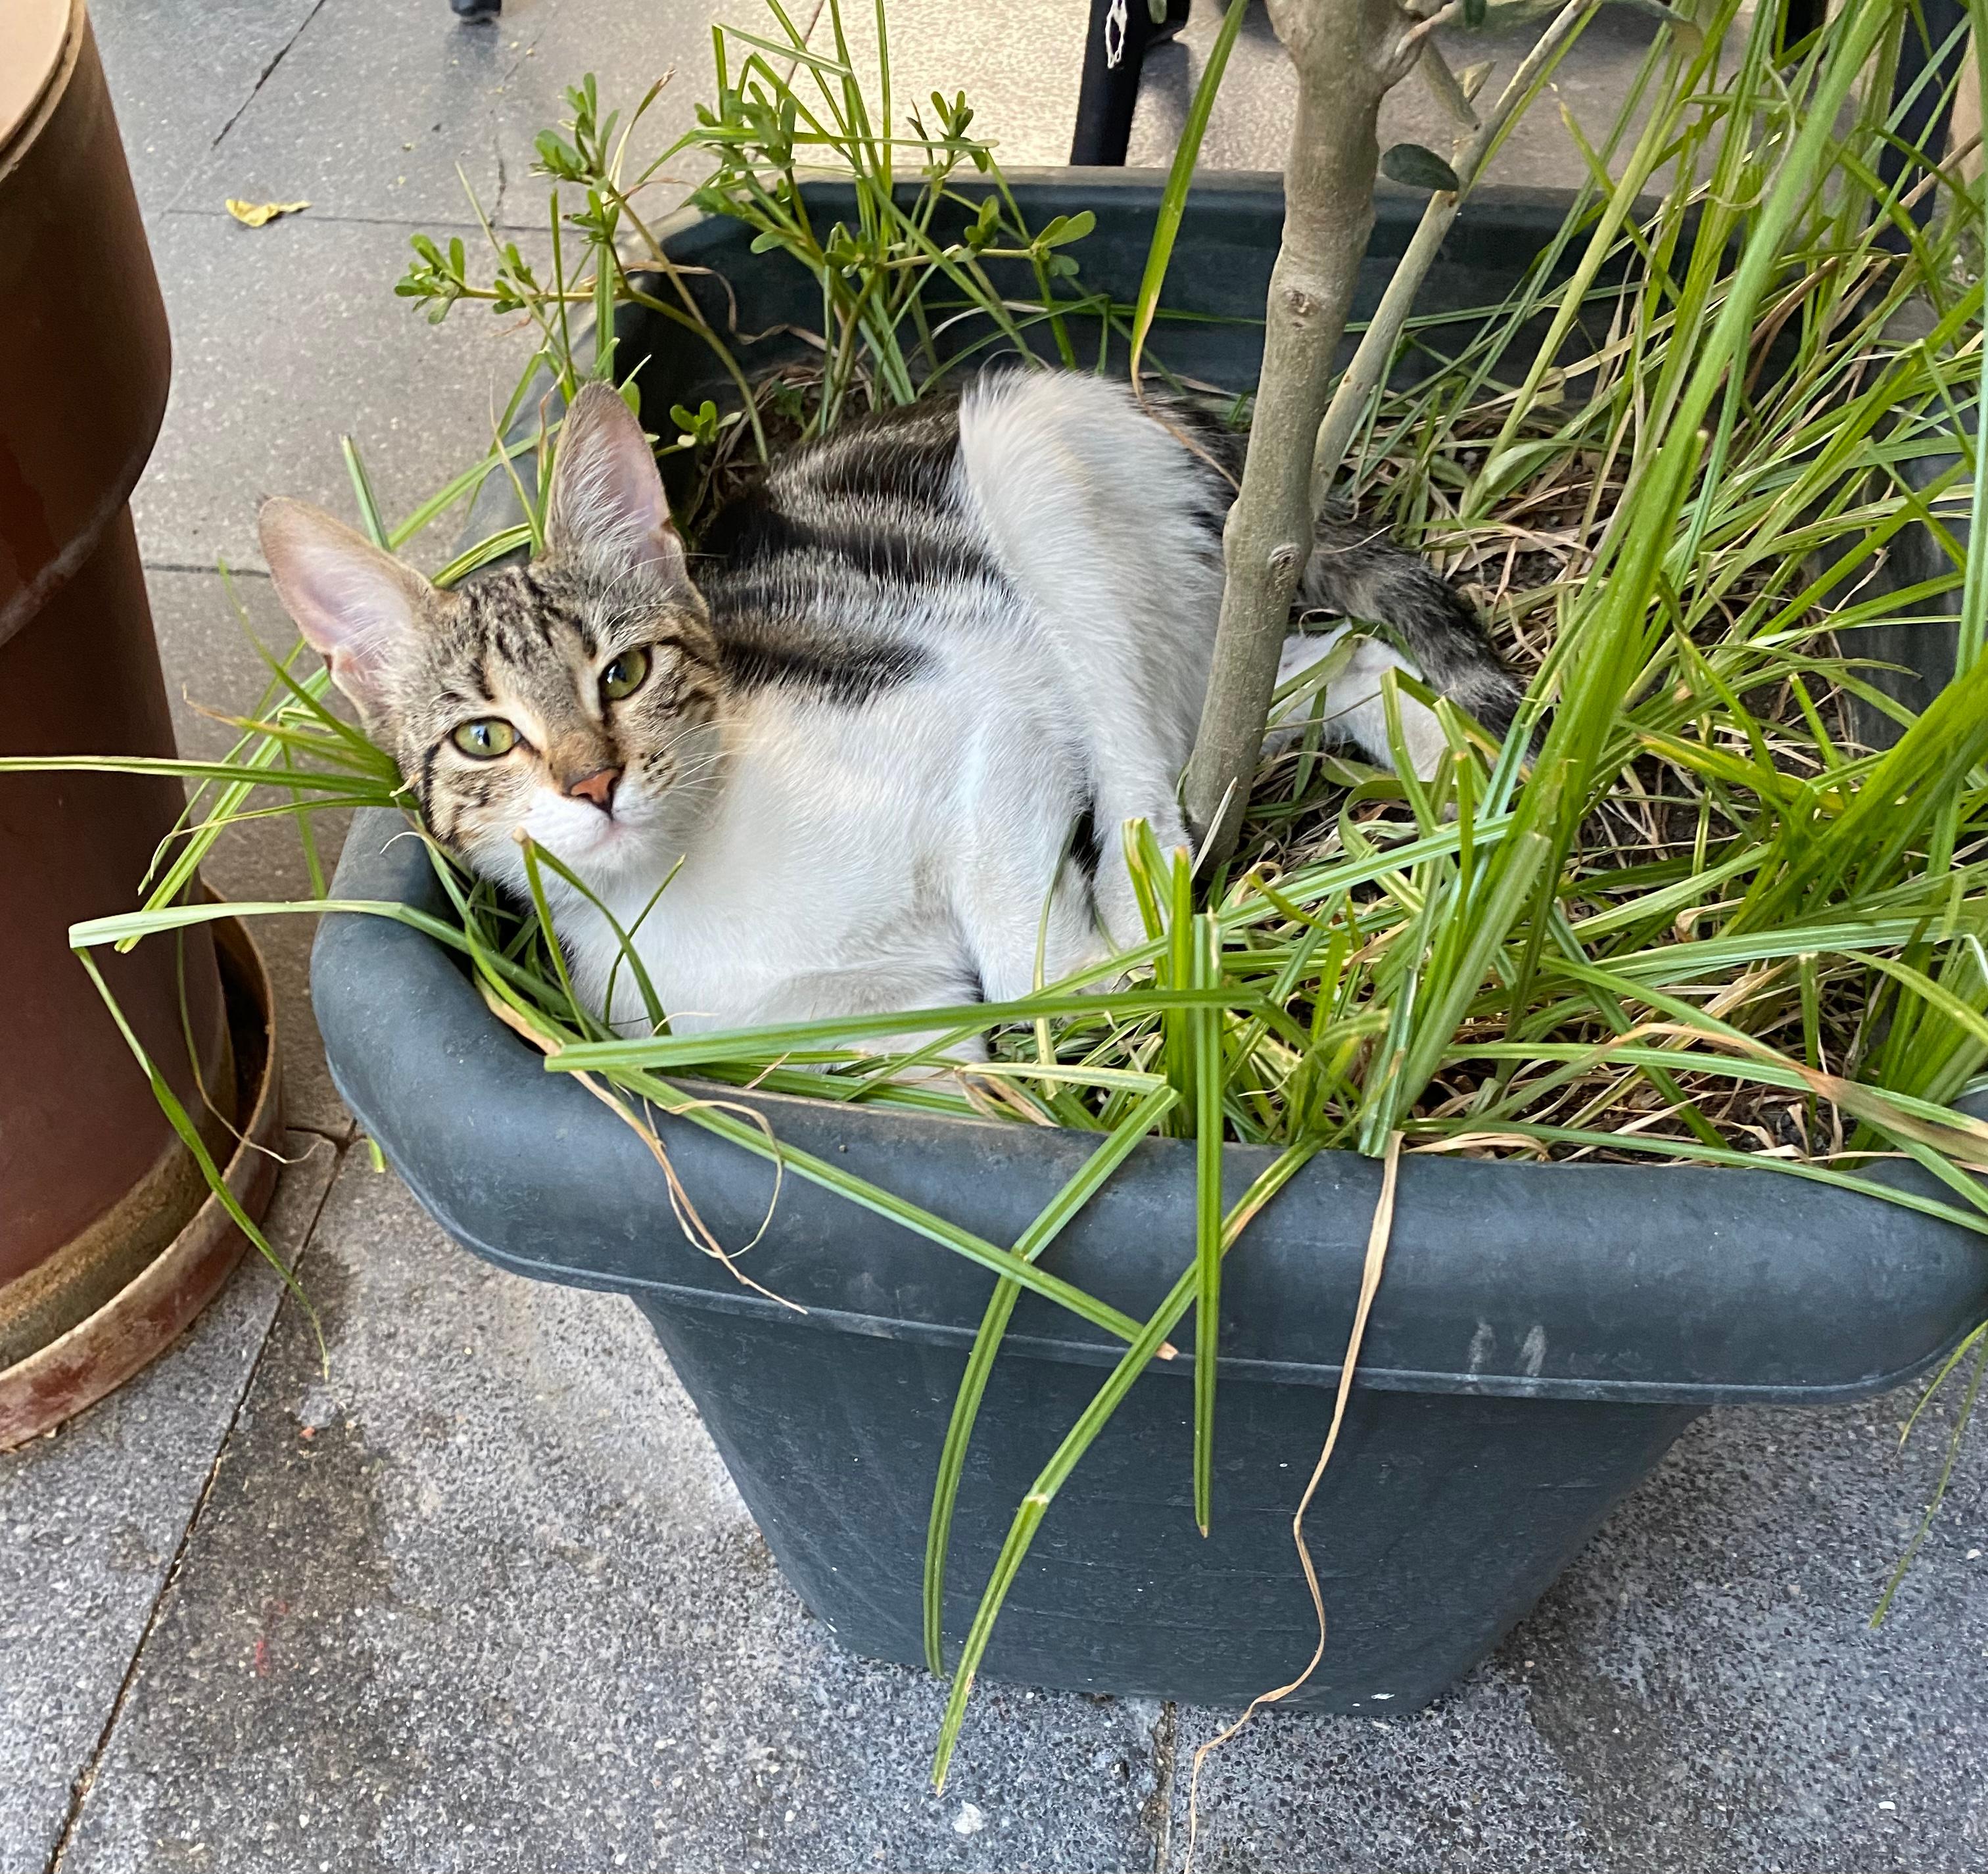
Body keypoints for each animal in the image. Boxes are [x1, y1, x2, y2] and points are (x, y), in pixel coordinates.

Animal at [260, 373, 1503, 1049]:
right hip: (1200, 644)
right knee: (1326, 660)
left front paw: (1118, 941)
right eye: (484, 736)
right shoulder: (875, 1035)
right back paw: (1445, 764)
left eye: (625, 672)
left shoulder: (987, 721)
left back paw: (1164, 871)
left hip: (1034, 485)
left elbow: (1029, 962)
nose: (593, 781)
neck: (689, 888)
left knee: (1149, 747)